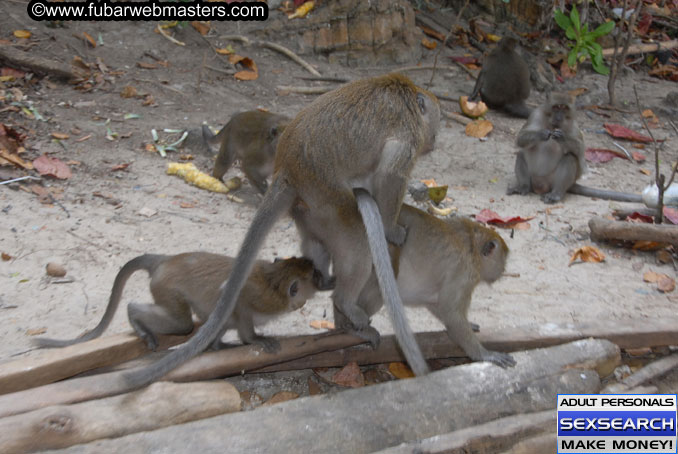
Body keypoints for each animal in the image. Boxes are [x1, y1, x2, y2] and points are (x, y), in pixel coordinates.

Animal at [33, 254, 326, 352]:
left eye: (309, 265)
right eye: (313, 275)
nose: (322, 275)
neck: (275, 278)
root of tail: (163, 260)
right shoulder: (263, 299)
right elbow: (236, 302)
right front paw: (253, 340)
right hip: (165, 287)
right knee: (182, 323)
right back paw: (136, 317)